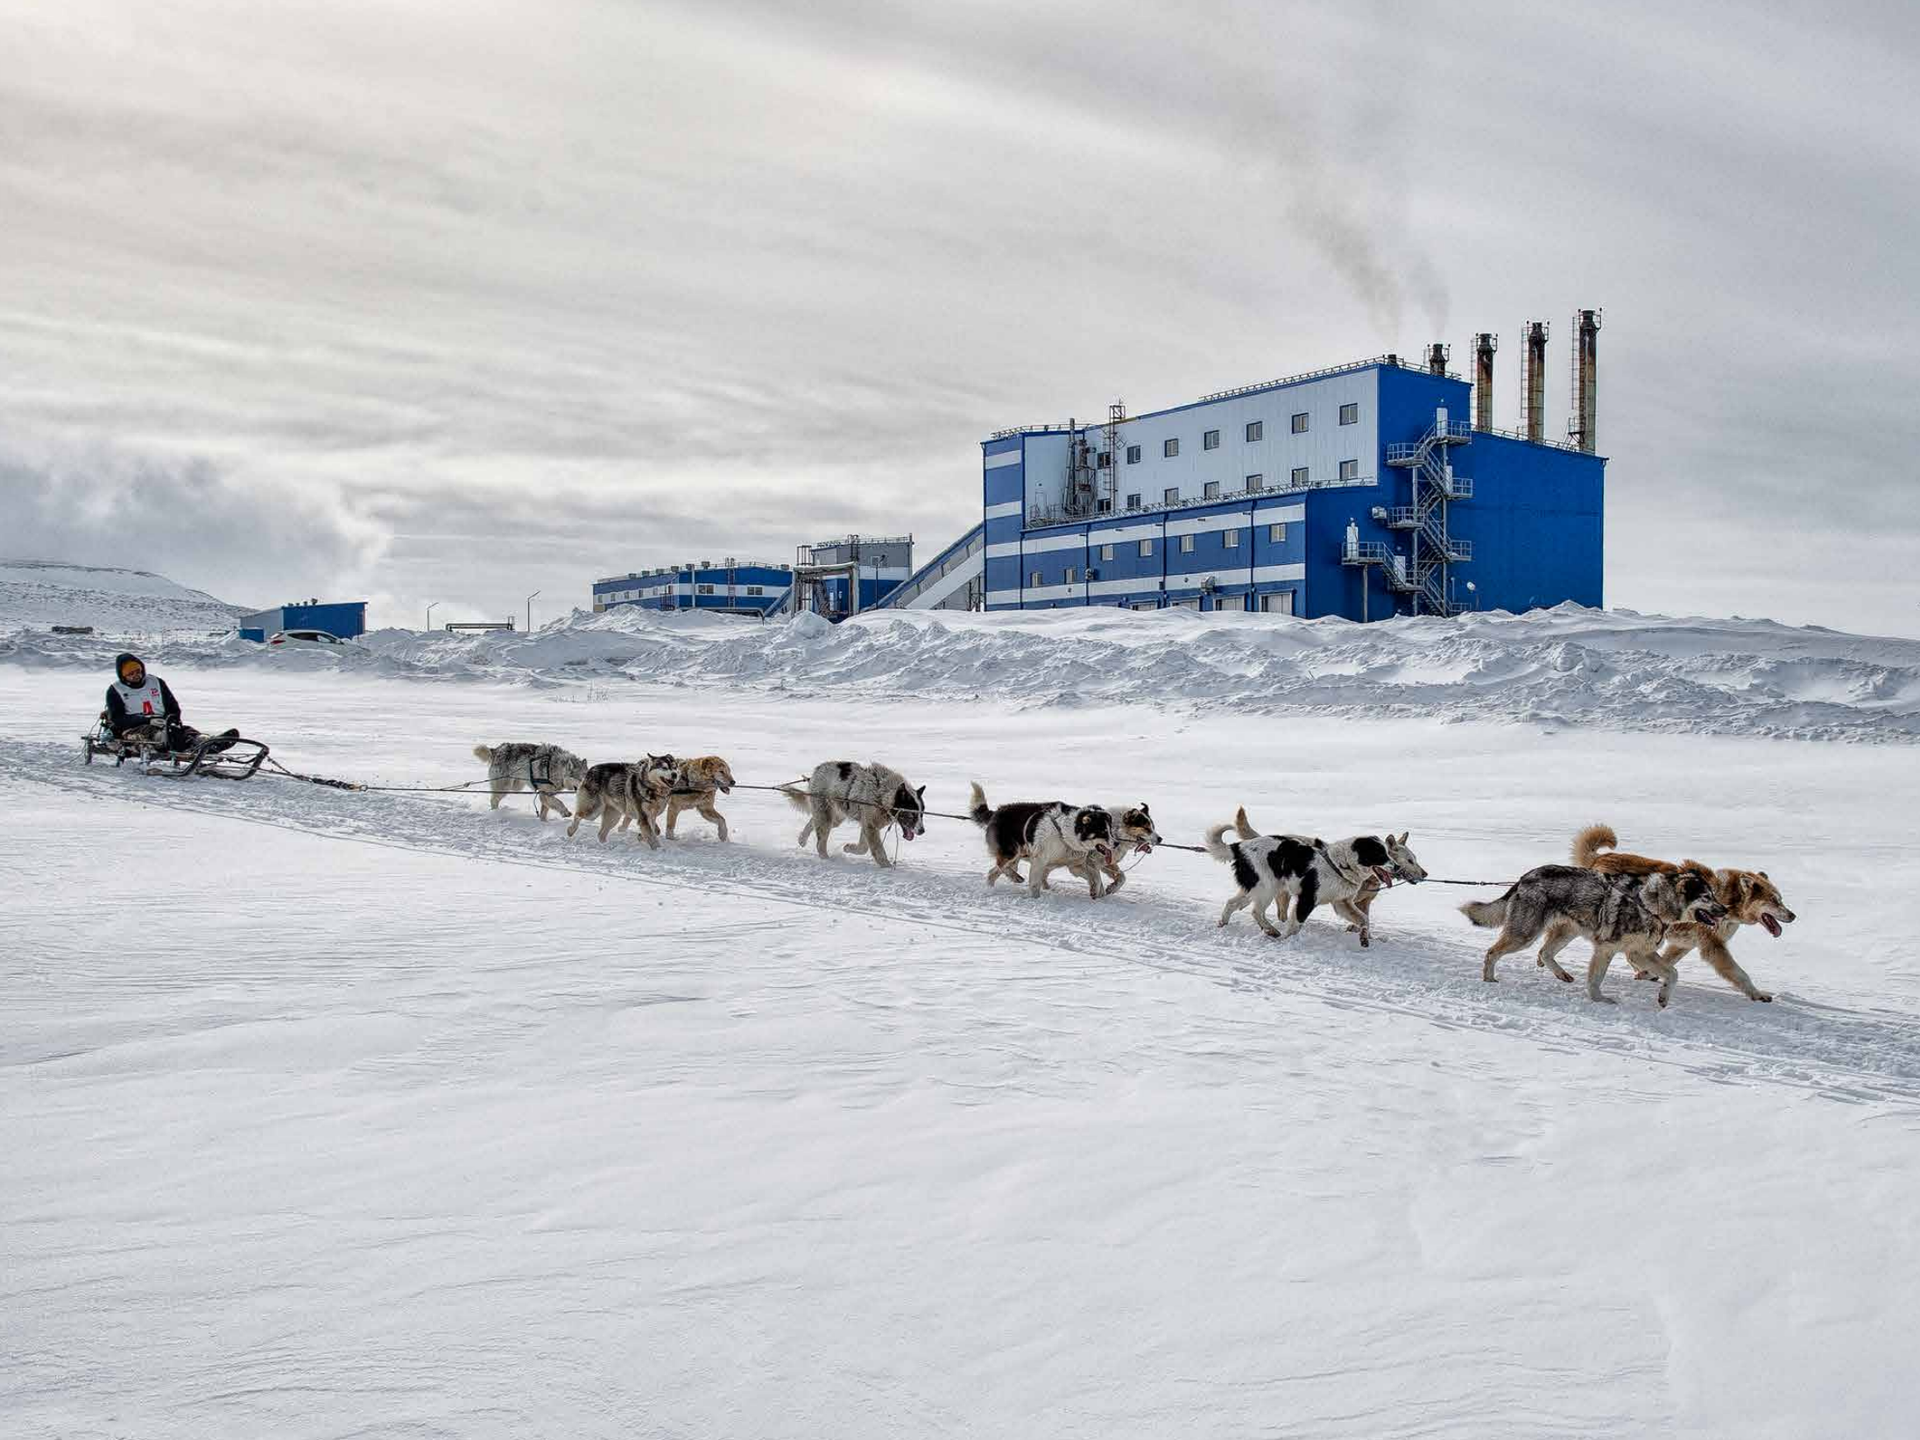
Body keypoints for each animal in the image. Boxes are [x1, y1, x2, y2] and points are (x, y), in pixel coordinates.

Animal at [779, 768, 929, 867]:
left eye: (921, 813)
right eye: (912, 813)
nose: (922, 831)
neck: (882, 795)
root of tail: (816, 772)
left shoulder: (867, 824)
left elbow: (863, 848)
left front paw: (848, 848)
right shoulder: (870, 826)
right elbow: (878, 850)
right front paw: (887, 866)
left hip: (835, 818)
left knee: (813, 822)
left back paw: (802, 839)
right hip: (826, 816)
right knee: (820, 843)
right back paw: (827, 859)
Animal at [967, 783, 1121, 898]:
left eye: (1110, 829)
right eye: (1103, 831)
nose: (1116, 843)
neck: (1065, 832)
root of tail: (997, 812)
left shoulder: (1075, 866)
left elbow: (1095, 877)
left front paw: (1096, 890)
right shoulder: (1039, 860)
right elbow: (1035, 884)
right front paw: (1035, 899)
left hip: (1015, 856)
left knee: (994, 871)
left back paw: (997, 885)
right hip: (1011, 852)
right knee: (1000, 867)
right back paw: (1011, 879)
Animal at [1198, 814, 1428, 948]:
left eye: (1388, 854)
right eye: (1380, 854)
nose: (1396, 867)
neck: (1340, 865)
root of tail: (1239, 846)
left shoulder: (1342, 903)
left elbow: (1363, 919)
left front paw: (1364, 938)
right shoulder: (1307, 899)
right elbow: (1295, 925)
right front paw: (1287, 942)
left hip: (1255, 889)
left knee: (1232, 903)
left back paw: (1225, 924)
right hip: (1267, 888)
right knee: (1256, 911)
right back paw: (1271, 931)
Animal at [1466, 867, 1728, 1013]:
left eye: (1715, 895)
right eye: (1706, 897)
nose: (1725, 910)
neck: (1651, 904)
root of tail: (1524, 878)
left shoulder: (1639, 952)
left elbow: (1672, 973)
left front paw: (1663, 998)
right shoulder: (1607, 949)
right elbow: (1595, 980)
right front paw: (1599, 1000)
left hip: (1566, 933)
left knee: (1544, 952)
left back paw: (1562, 975)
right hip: (1525, 934)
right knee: (1492, 952)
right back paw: (1488, 979)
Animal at [1574, 821, 1797, 1006]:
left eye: (1781, 899)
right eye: (1775, 901)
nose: (1793, 915)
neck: (1726, 900)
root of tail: (1599, 857)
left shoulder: (1683, 944)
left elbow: (1666, 962)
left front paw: (1647, 974)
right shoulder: (1713, 947)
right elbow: (1741, 974)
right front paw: (1758, 994)